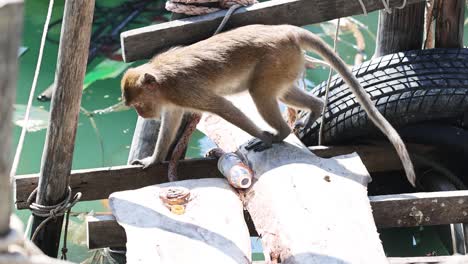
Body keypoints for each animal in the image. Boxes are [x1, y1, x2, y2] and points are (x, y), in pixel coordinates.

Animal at [121, 23, 416, 187]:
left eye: (140, 104)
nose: (142, 113)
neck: (161, 80)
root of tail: (285, 30)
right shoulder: (173, 100)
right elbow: (170, 123)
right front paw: (153, 159)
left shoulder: (185, 90)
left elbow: (222, 107)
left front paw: (262, 136)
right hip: (288, 62)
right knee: (281, 93)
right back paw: (315, 108)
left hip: (276, 58)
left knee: (260, 93)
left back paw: (278, 135)